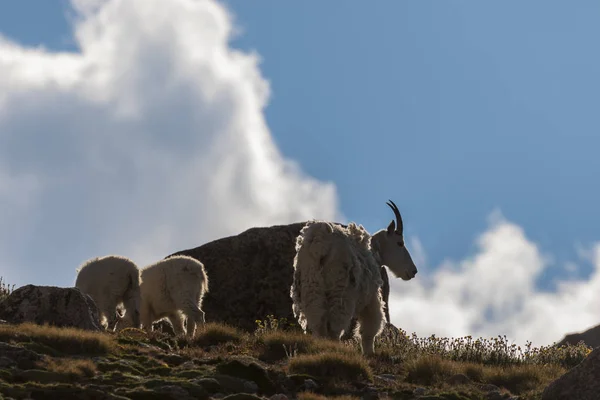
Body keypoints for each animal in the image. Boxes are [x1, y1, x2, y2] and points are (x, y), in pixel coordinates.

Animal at [290, 202, 418, 354]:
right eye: (400, 243)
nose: (413, 271)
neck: (374, 253)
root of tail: (320, 242)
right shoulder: (372, 297)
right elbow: (369, 328)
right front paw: (369, 353)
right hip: (340, 290)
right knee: (335, 325)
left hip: (312, 283)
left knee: (317, 320)